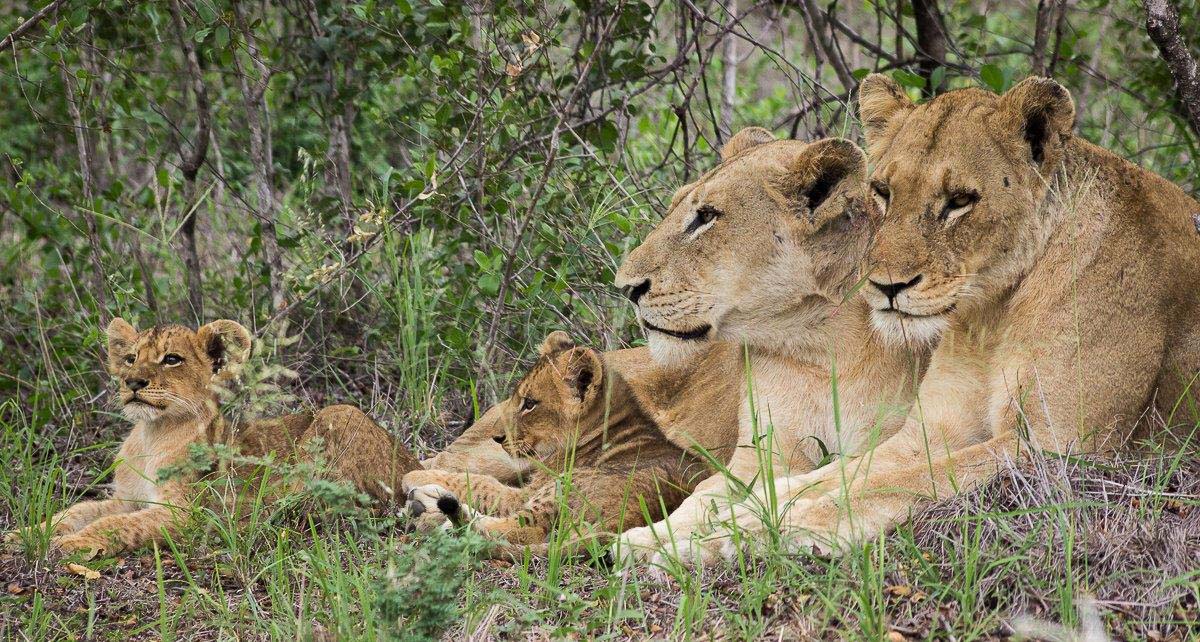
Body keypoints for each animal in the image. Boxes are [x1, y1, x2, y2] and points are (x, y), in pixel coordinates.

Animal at [609, 129, 926, 561]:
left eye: (706, 216)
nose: (625, 287)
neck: (821, 349)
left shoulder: (892, 435)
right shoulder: (757, 457)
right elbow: (704, 497)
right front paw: (651, 538)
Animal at [696, 74, 1200, 556]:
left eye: (959, 201)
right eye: (882, 192)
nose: (887, 286)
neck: (994, 313)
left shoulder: (1068, 447)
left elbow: (912, 479)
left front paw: (798, 524)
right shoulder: (931, 427)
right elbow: (841, 473)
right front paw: (720, 525)